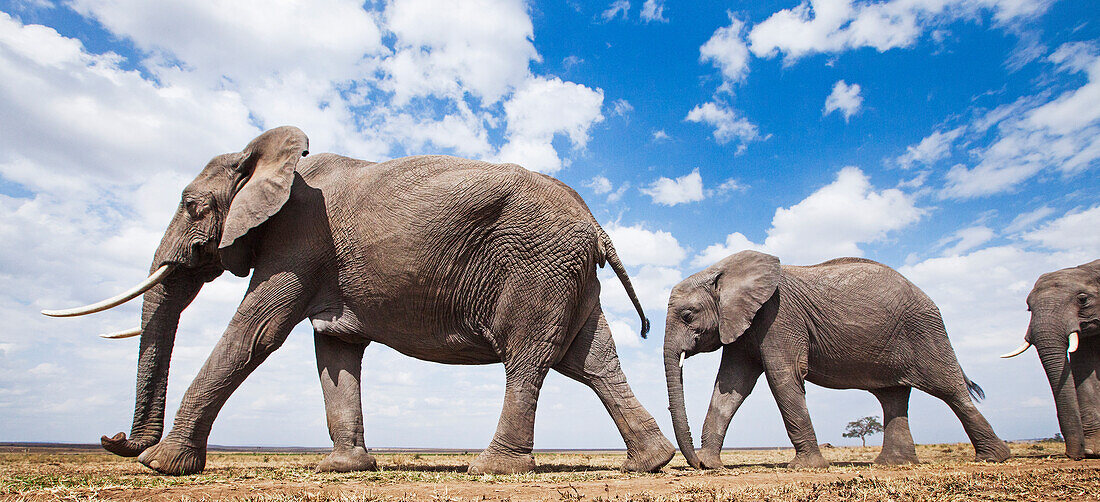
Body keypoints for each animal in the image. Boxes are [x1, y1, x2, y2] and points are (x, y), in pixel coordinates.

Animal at [42, 125, 673, 475]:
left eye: (191, 206)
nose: (111, 440)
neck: (267, 158)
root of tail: (597, 226)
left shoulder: (299, 240)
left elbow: (255, 334)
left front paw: (162, 465)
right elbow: (335, 352)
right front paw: (345, 468)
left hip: (535, 264)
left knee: (529, 359)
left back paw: (493, 469)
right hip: (569, 274)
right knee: (591, 361)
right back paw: (651, 462)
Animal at [664, 253, 1007, 468]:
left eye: (688, 315)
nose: (694, 463)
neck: (723, 270)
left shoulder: (779, 316)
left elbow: (782, 377)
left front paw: (805, 467)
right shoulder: (742, 324)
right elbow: (731, 387)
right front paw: (712, 464)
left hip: (926, 331)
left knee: (949, 390)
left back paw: (994, 458)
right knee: (893, 398)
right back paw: (893, 463)